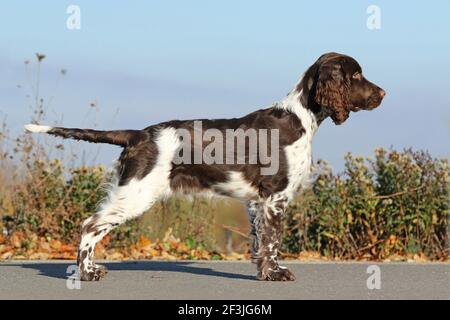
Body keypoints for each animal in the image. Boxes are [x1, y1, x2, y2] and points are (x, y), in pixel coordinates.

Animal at [24, 53, 384, 282]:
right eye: (355, 75)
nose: (382, 92)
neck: (300, 117)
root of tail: (138, 134)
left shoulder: (257, 202)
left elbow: (260, 242)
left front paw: (263, 274)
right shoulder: (275, 197)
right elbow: (273, 241)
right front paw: (277, 274)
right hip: (136, 193)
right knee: (90, 225)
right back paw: (88, 273)